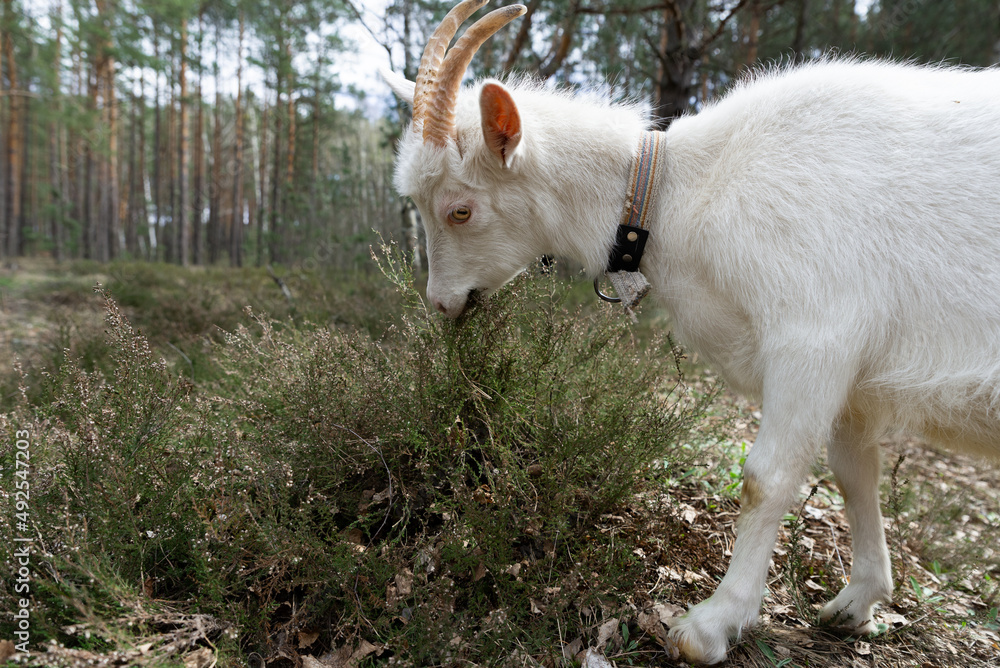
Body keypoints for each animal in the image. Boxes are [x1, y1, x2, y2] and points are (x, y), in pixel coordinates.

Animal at [382, 0, 1000, 663]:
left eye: (460, 209)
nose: (442, 303)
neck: (686, 188)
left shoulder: (814, 334)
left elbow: (765, 479)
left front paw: (710, 625)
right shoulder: (850, 381)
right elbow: (855, 474)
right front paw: (856, 605)